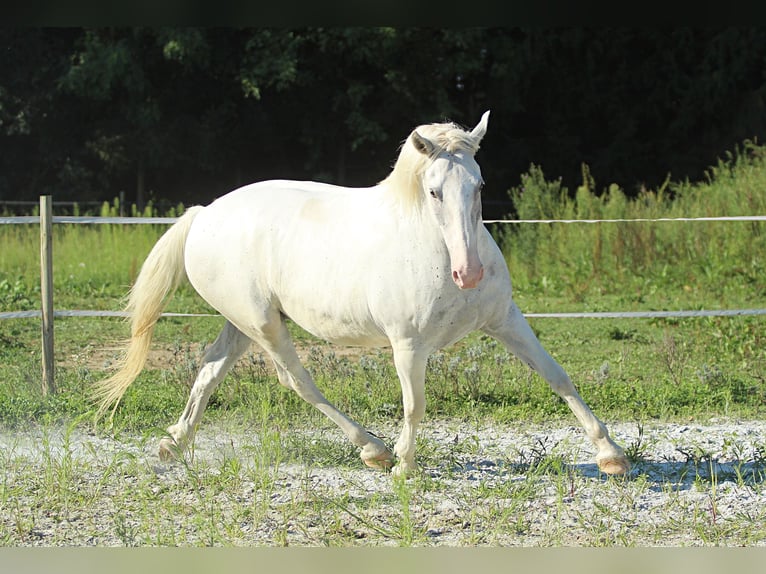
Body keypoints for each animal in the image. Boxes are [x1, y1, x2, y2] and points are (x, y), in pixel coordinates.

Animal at [94, 111, 632, 476]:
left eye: (479, 185)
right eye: (434, 191)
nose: (470, 274)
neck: (432, 245)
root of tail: (203, 213)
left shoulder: (505, 320)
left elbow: (557, 375)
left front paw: (611, 455)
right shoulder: (408, 345)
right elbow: (415, 404)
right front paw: (405, 466)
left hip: (242, 322)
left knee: (209, 371)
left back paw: (173, 444)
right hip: (264, 325)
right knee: (297, 381)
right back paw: (373, 449)